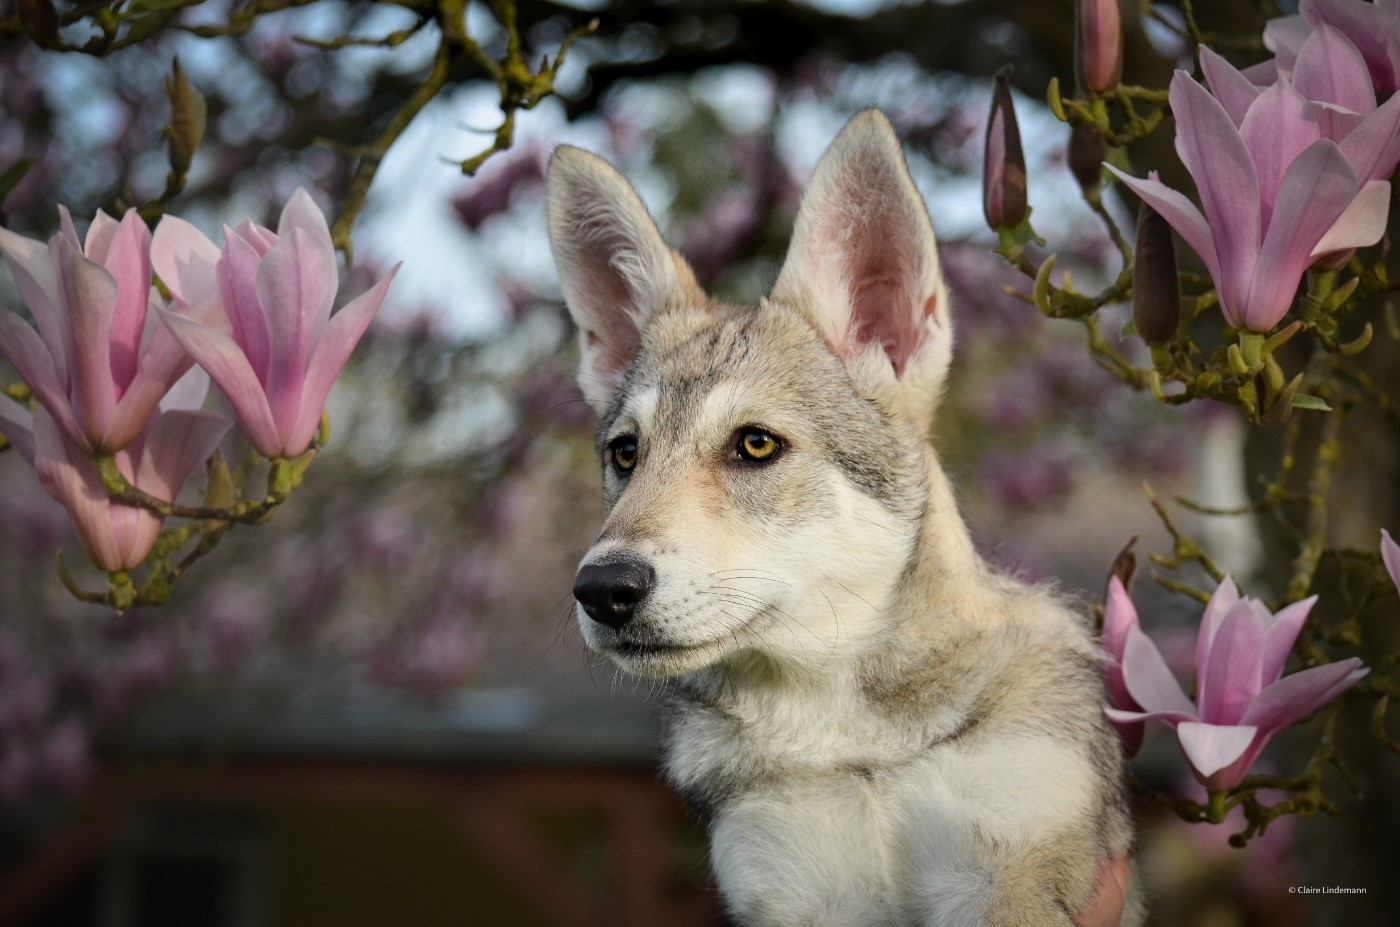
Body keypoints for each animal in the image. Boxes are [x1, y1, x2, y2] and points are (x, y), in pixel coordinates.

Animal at [547, 110, 1142, 927]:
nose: (602, 589)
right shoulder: (792, 893)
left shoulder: (1011, 874)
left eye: (756, 444)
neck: (843, 738)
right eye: (625, 453)